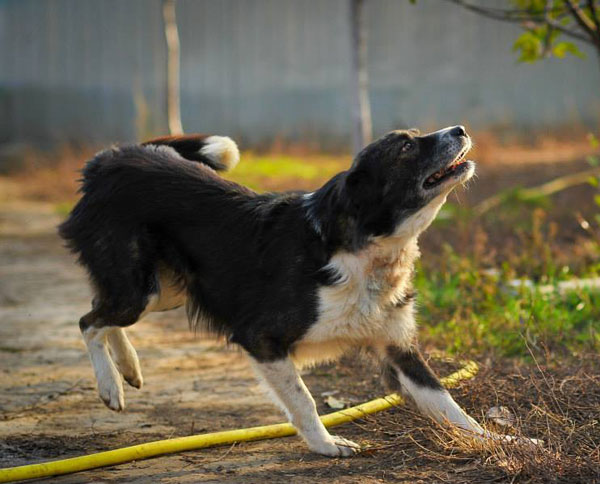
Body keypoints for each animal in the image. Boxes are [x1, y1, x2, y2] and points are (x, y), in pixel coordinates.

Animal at [58, 126, 506, 456]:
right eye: (405, 147)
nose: (460, 128)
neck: (364, 250)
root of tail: (110, 159)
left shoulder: (398, 348)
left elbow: (448, 403)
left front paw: (503, 440)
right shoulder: (261, 338)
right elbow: (304, 399)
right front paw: (326, 445)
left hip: (166, 290)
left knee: (101, 310)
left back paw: (128, 367)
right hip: (141, 288)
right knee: (88, 322)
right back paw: (110, 386)